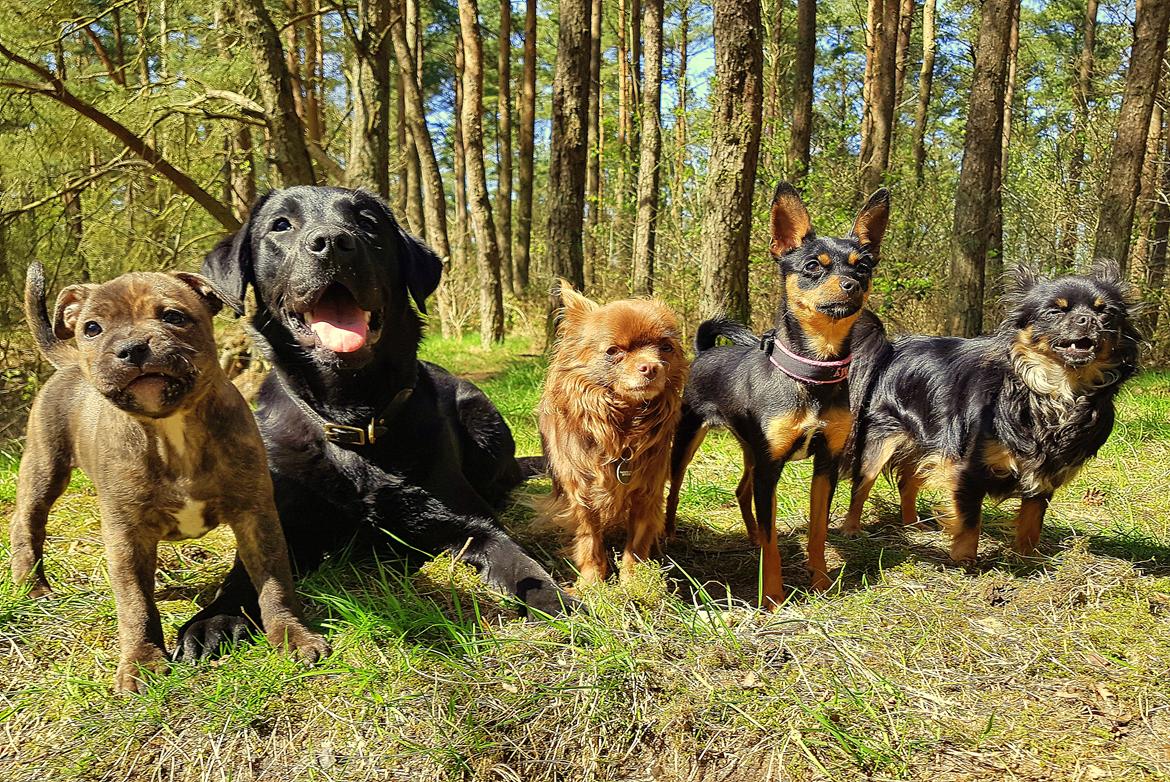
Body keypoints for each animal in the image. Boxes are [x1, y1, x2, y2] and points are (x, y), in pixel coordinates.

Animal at [10, 261, 329, 688]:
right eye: (92, 328)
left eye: (173, 317)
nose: (132, 348)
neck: (170, 428)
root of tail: (69, 358)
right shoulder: (125, 535)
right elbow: (134, 603)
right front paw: (141, 661)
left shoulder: (256, 516)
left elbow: (274, 582)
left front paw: (292, 635)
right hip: (45, 466)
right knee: (27, 522)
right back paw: (33, 586)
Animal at [535, 279, 687, 580]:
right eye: (613, 351)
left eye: (665, 348)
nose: (651, 367)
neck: (622, 427)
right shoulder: (581, 493)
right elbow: (589, 539)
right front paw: (592, 581)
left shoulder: (647, 492)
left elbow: (637, 544)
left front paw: (633, 581)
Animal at [664, 181, 889, 604]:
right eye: (813, 266)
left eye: (864, 266)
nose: (852, 285)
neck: (812, 372)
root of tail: (705, 351)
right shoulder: (772, 468)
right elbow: (773, 545)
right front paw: (771, 597)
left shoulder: (825, 464)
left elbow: (817, 530)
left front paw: (820, 581)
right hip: (688, 440)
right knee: (674, 490)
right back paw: (667, 536)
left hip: (751, 450)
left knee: (741, 491)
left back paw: (750, 535)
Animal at [842, 264, 1141, 561]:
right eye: (1055, 311)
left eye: (1105, 312)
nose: (1087, 320)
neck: (1056, 391)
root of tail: (892, 349)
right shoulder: (966, 468)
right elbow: (969, 519)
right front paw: (965, 561)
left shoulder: (1044, 475)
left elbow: (1032, 520)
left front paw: (1027, 558)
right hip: (881, 442)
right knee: (861, 486)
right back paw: (852, 529)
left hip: (927, 443)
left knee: (908, 482)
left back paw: (913, 524)